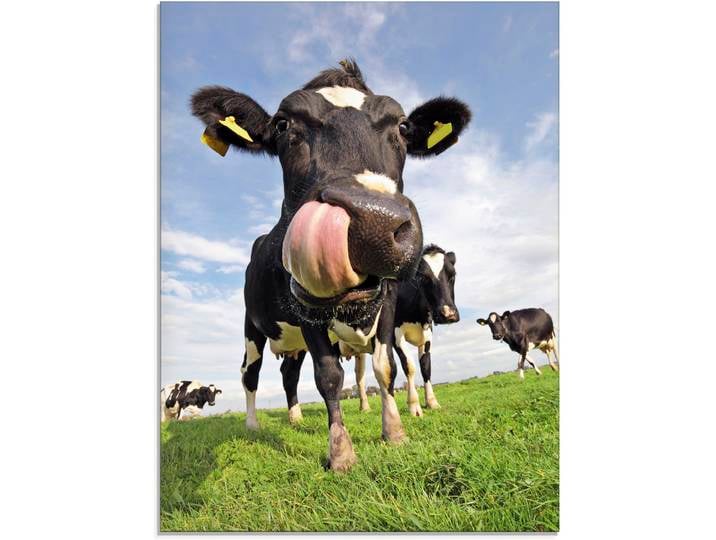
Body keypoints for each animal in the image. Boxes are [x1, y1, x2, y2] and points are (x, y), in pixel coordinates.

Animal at [348, 244, 459, 416]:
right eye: (422, 278)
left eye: (452, 275)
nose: (448, 314)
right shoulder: (395, 335)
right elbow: (409, 366)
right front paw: (414, 405)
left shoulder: (427, 336)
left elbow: (426, 367)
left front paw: (432, 402)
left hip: (359, 351)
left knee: (359, 376)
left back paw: (364, 407)